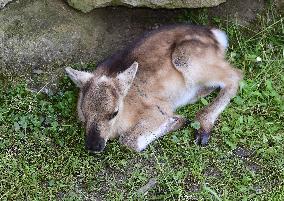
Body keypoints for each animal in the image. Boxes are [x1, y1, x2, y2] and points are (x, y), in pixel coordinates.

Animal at [65, 24, 243, 152]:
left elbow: (129, 141)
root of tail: (216, 35)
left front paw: (178, 120)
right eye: (84, 112)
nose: (93, 146)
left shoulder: (158, 108)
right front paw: (177, 119)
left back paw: (202, 129)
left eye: (114, 112)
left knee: (235, 75)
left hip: (187, 58)